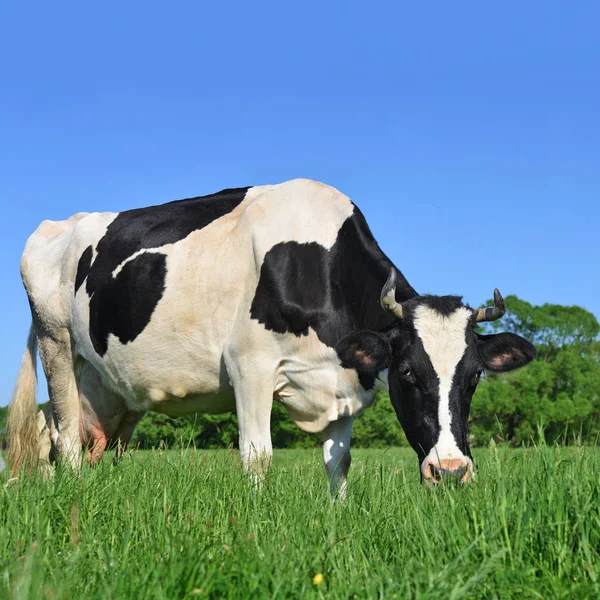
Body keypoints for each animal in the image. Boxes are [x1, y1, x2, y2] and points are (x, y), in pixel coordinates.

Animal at [8, 177, 536, 492]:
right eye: (407, 373)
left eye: (474, 378)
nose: (450, 470)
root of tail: (57, 225)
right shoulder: (250, 367)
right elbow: (257, 456)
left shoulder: (341, 384)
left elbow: (340, 462)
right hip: (57, 344)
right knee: (65, 441)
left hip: (106, 383)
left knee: (65, 431)